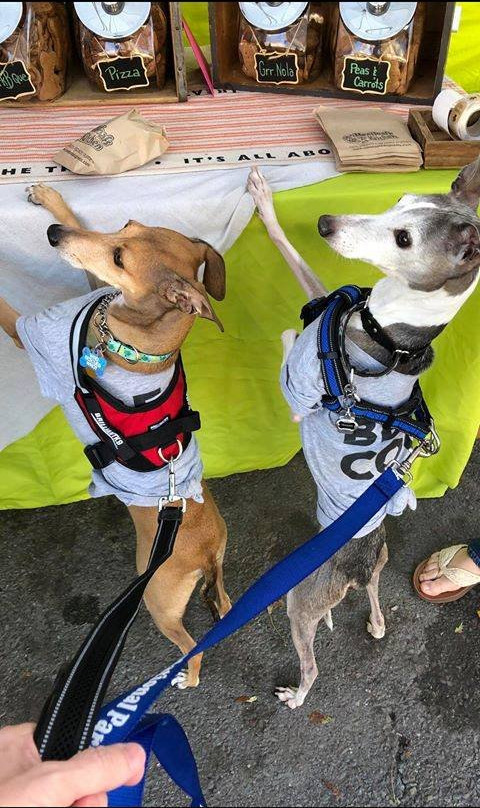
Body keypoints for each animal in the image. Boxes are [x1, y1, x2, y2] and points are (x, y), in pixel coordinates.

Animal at [0, 186, 232, 692]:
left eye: (120, 258)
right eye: (125, 226)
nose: (53, 234)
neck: (131, 339)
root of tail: (204, 552)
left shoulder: (31, 335)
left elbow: (7, 312)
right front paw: (51, 199)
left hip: (157, 600)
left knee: (191, 644)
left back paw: (186, 677)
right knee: (224, 607)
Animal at [248, 156, 480, 708]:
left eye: (403, 239)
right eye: (399, 200)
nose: (324, 222)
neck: (390, 339)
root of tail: (354, 567)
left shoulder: (302, 384)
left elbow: (293, 346)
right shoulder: (328, 301)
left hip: (299, 600)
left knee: (311, 663)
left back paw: (296, 694)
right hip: (378, 567)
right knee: (376, 602)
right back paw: (372, 621)